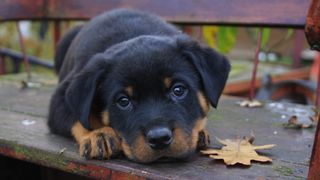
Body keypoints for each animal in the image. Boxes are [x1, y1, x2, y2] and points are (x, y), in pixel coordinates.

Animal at [48, 8, 230, 163]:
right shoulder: (62, 96)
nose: (159, 139)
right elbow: (78, 116)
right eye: (123, 101)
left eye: (178, 90)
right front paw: (98, 135)